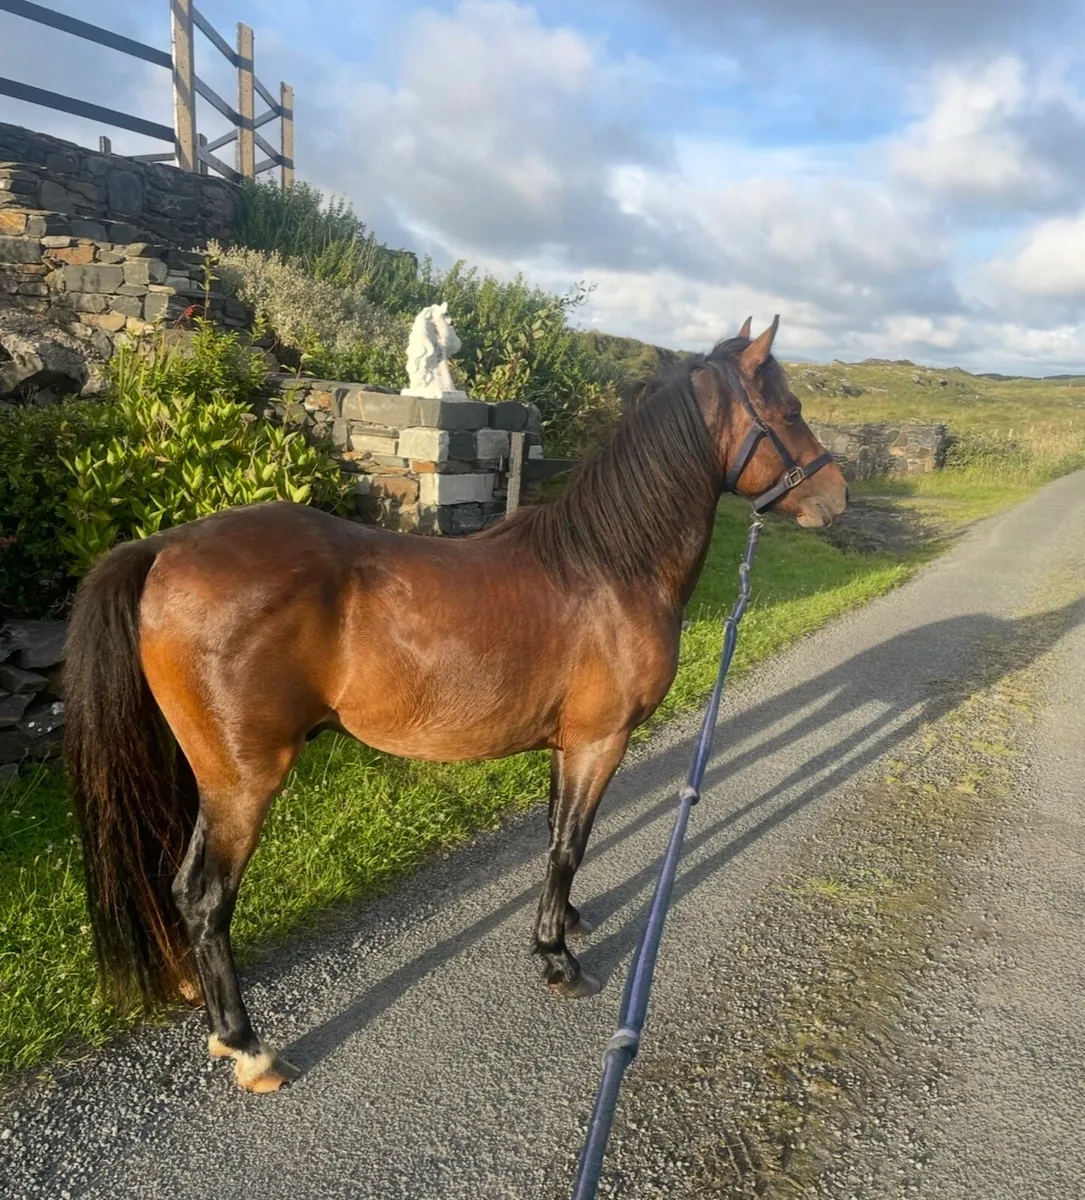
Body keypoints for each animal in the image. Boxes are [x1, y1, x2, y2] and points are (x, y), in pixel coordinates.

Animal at [63, 316, 847, 1094]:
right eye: (788, 413)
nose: (836, 497)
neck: (609, 566)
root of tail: (163, 548)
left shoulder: (567, 744)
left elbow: (556, 838)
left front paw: (566, 923)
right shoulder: (600, 740)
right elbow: (570, 844)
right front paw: (556, 959)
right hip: (242, 782)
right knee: (204, 896)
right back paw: (245, 1045)